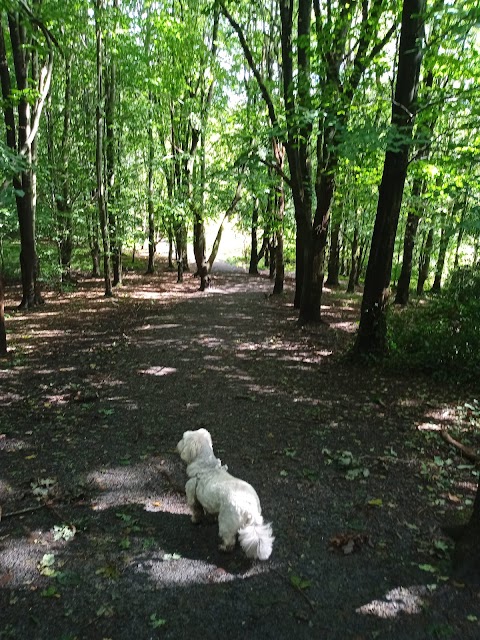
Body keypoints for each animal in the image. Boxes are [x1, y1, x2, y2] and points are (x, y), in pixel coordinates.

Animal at [176, 430, 274, 560]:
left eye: (183, 438)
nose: (177, 444)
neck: (206, 467)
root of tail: (249, 509)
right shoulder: (210, 502)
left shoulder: (192, 494)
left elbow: (196, 510)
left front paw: (195, 520)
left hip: (225, 523)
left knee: (229, 540)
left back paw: (224, 548)